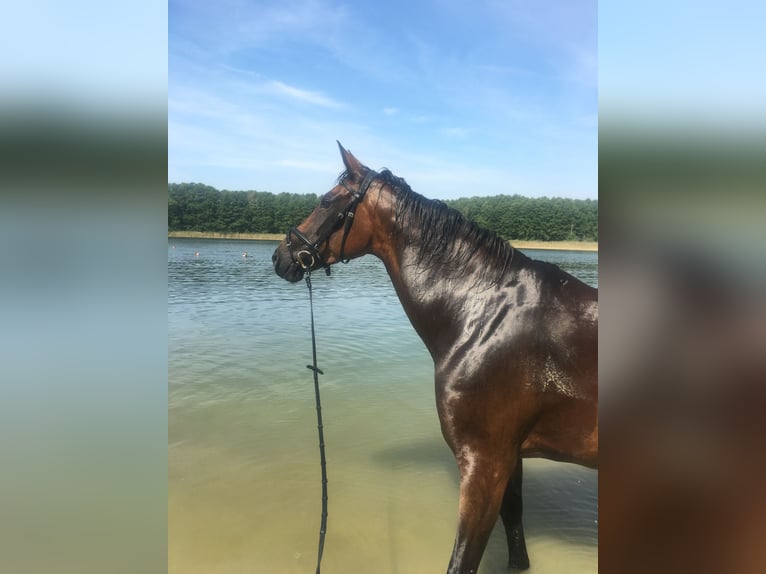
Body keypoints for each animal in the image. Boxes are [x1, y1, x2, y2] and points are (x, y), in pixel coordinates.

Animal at [272, 144, 600, 574]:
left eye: (327, 201)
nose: (281, 256)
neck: (484, 315)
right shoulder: (510, 459)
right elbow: (515, 533)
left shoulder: (484, 464)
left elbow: (462, 559)